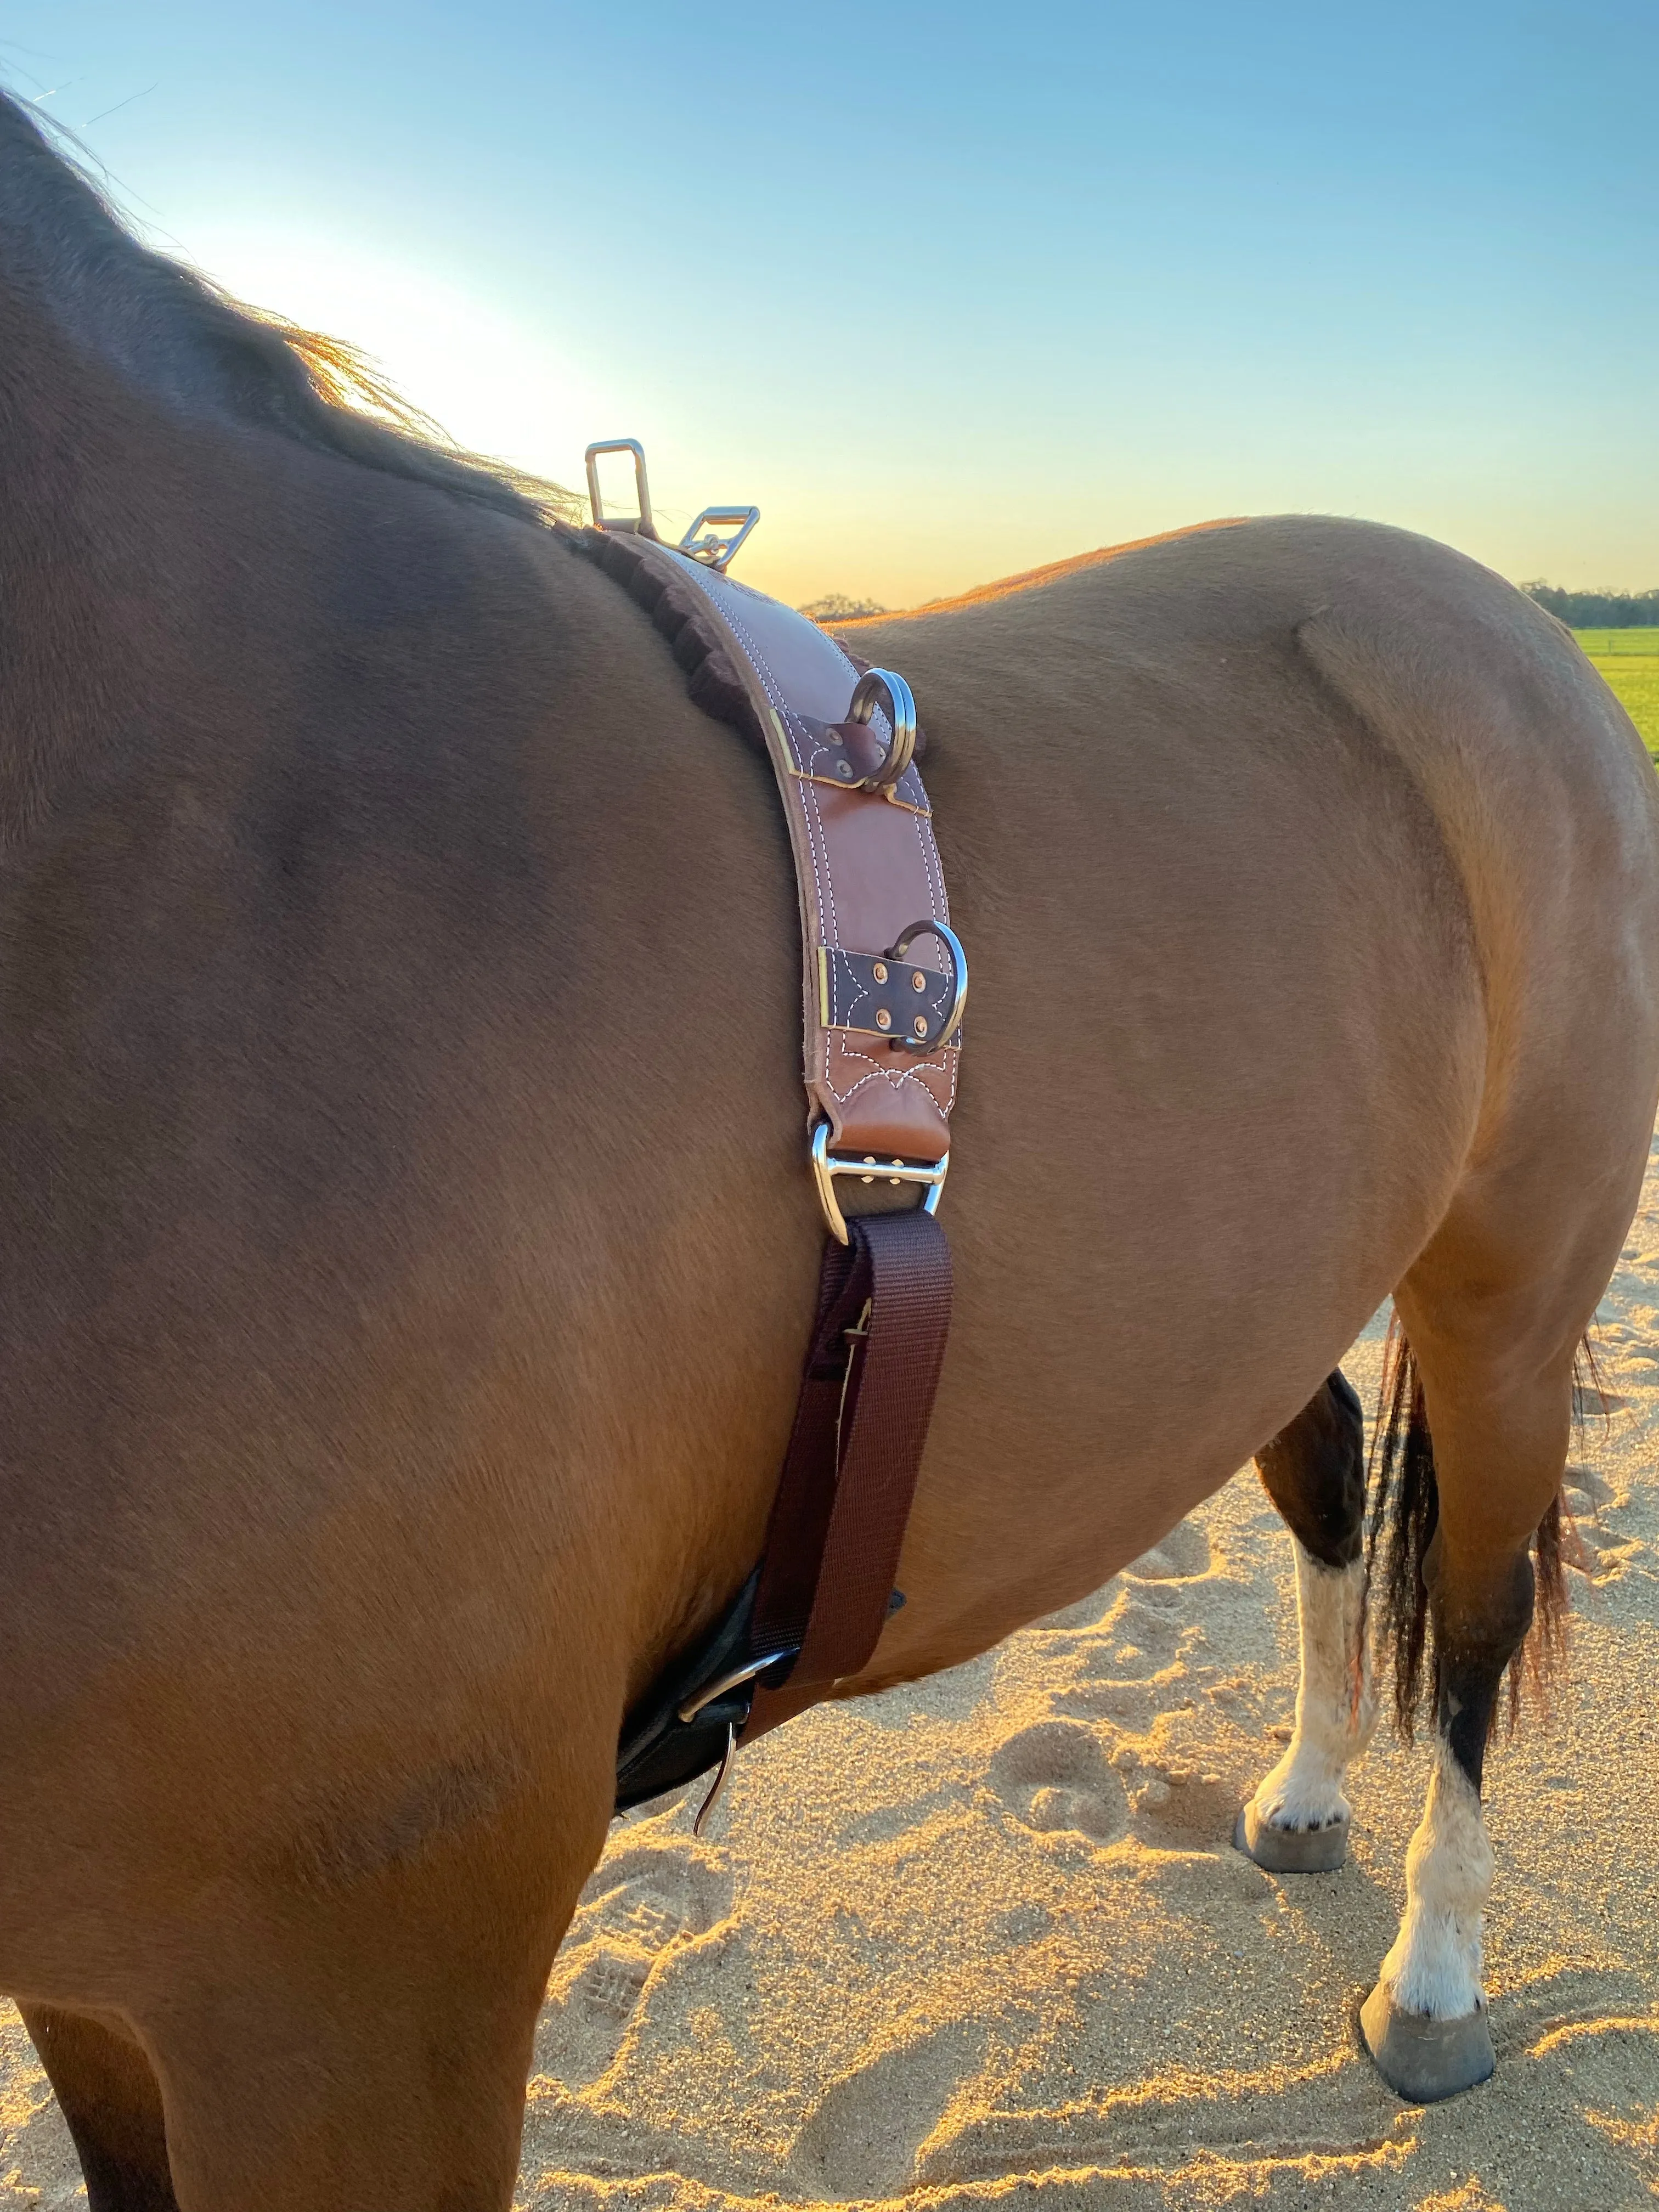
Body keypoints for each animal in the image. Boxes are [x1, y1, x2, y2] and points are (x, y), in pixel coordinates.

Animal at [3, 86, 1659, 2212]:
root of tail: (1495, 625)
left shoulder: (363, 1998)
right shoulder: (100, 1980)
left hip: (1509, 1283)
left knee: (1471, 1608)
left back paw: (1435, 1979)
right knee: (1321, 1480)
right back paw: (1298, 1796)